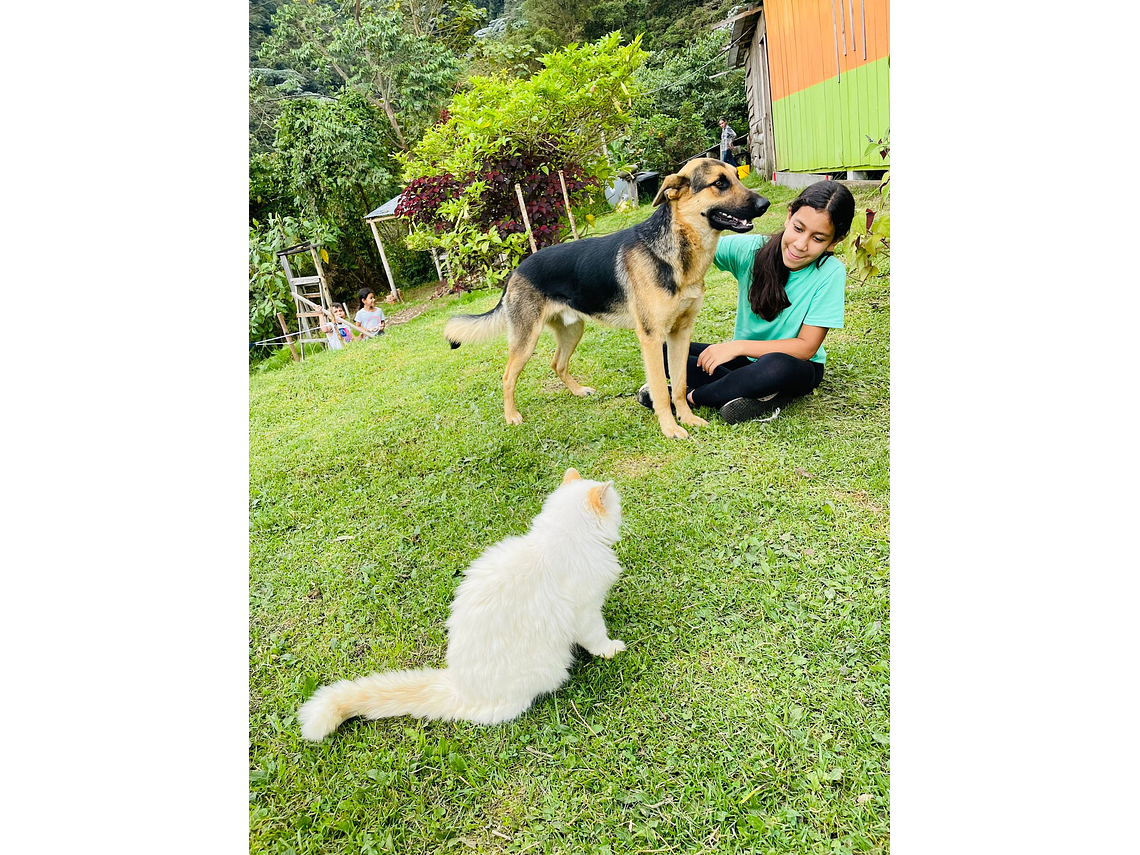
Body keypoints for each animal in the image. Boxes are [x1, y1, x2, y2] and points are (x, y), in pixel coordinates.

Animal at [298, 469, 629, 743]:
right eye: (618, 507)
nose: (623, 513)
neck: (561, 540)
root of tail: (459, 687)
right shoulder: (587, 613)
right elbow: (597, 638)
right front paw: (611, 650)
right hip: (547, 668)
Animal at [440, 159, 770, 437]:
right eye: (720, 183)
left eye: (735, 176)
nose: (764, 203)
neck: (677, 248)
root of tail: (515, 271)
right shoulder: (652, 338)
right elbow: (661, 391)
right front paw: (670, 428)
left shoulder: (680, 333)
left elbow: (678, 384)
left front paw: (686, 418)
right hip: (526, 340)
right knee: (508, 376)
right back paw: (511, 416)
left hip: (573, 329)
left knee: (557, 364)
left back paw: (578, 392)